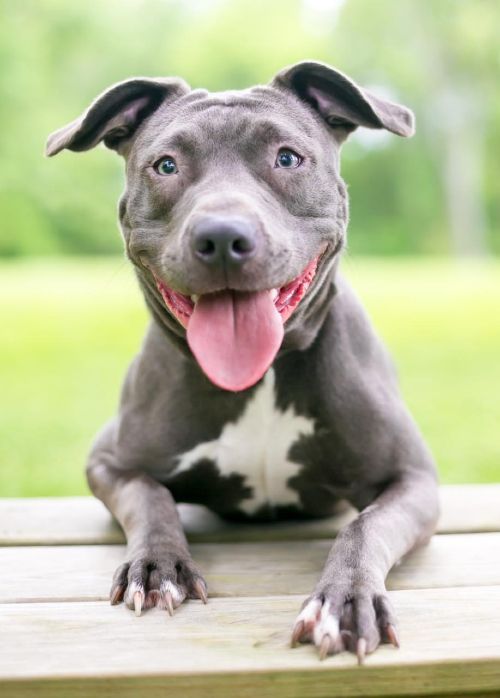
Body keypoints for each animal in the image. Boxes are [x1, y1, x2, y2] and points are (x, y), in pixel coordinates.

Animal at [47, 62, 438, 660]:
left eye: (287, 158)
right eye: (166, 165)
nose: (223, 236)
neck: (262, 377)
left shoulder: (413, 479)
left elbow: (365, 527)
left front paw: (346, 600)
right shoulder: (110, 461)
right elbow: (151, 497)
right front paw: (157, 565)